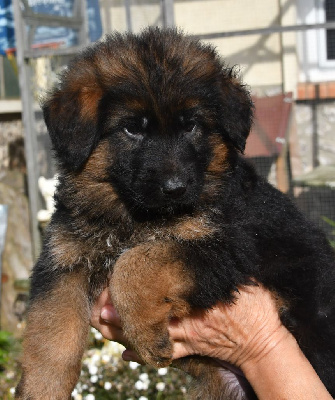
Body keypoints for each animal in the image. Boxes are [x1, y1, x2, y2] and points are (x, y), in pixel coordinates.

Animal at [16, 27, 335, 396]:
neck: (134, 215)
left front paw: (144, 333)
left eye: (191, 126)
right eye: (132, 128)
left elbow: (137, 262)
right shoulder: (64, 261)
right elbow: (51, 338)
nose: (175, 188)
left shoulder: (227, 248)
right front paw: (41, 391)